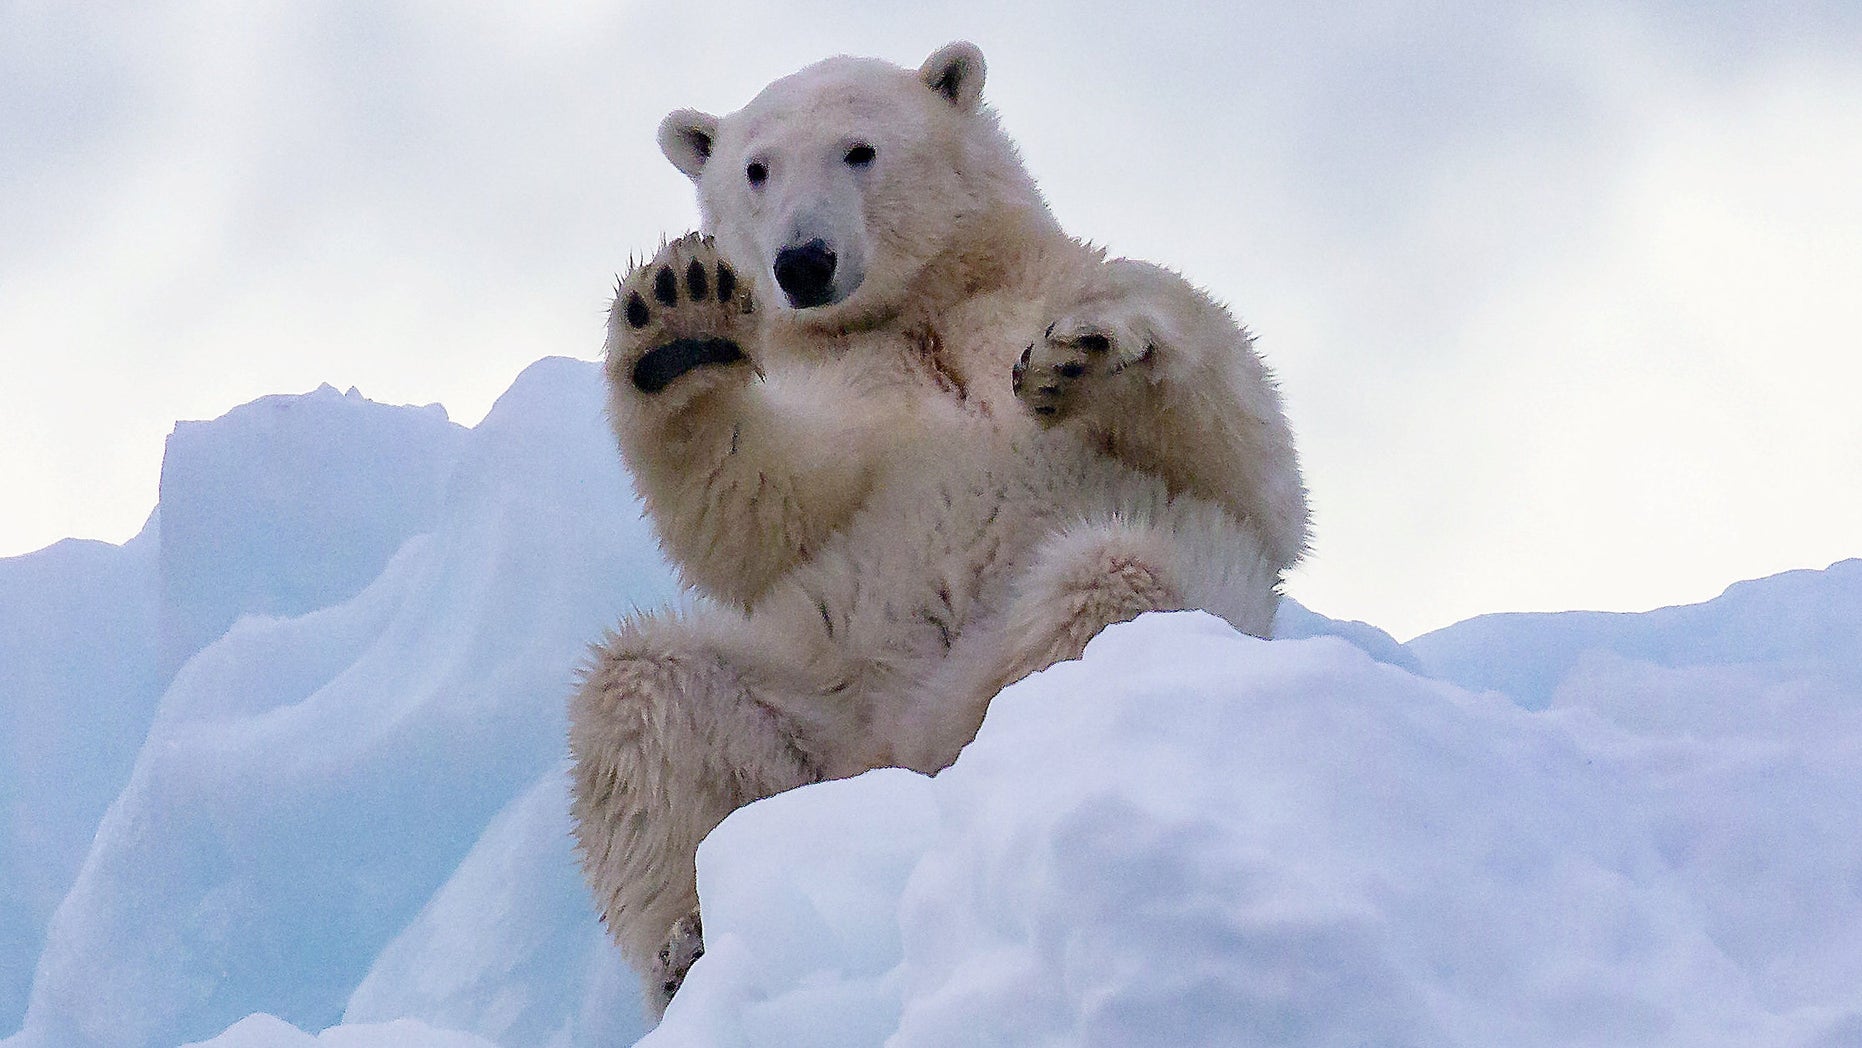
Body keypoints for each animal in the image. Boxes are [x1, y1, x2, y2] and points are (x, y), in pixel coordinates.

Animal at [566, 43, 1310, 1020]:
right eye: (756, 169)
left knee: (1111, 581)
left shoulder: (1024, 307)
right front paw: (678, 322)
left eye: (860, 149)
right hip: (814, 716)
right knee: (640, 698)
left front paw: (1092, 347)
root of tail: (902, 761)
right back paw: (684, 947)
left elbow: (1251, 468)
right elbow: (765, 507)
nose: (803, 262)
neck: (922, 312)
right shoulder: (848, 394)